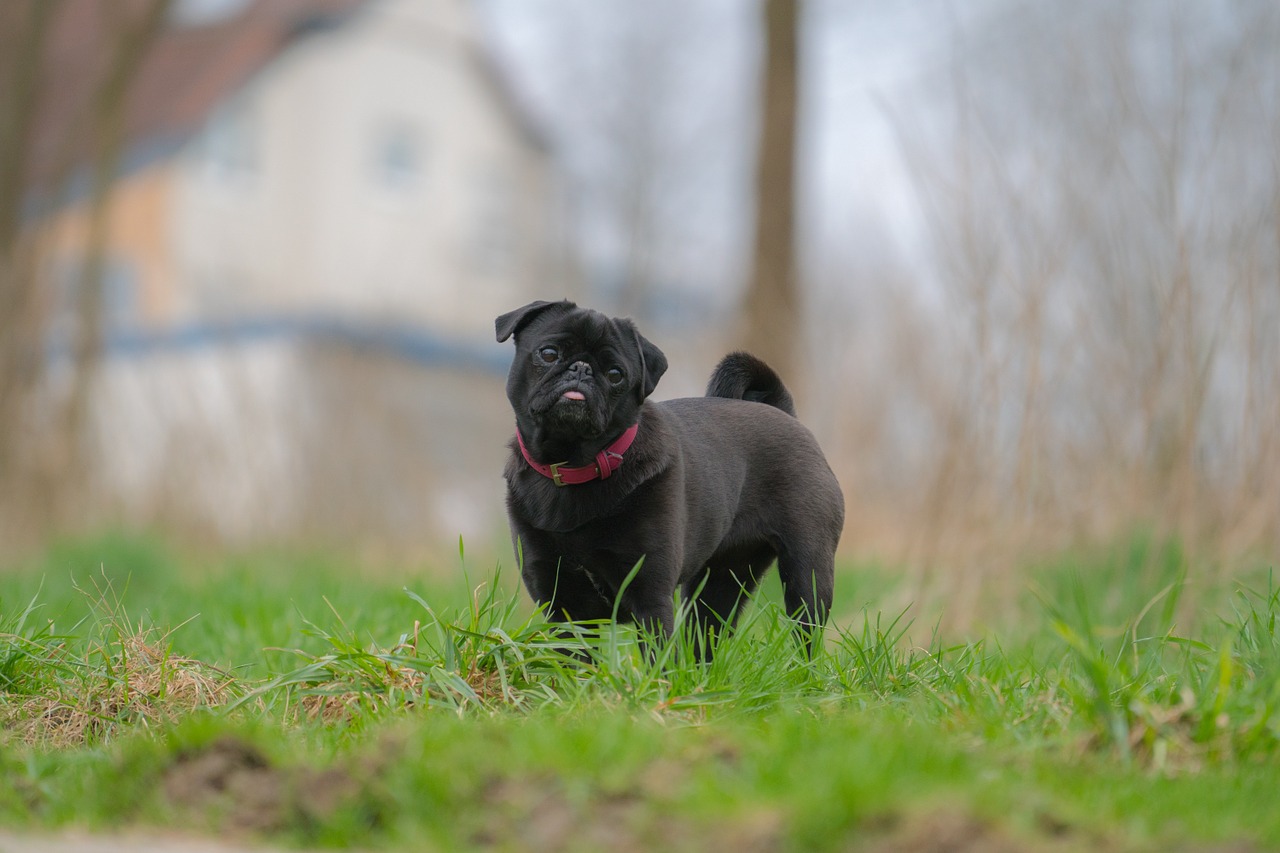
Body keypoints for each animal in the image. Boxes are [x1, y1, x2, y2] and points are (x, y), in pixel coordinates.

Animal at [494, 298, 844, 655]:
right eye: (549, 354)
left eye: (616, 374)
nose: (581, 369)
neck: (573, 466)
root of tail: (785, 414)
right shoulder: (564, 607)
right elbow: (572, 658)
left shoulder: (649, 597)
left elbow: (657, 654)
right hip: (718, 584)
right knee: (707, 632)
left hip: (807, 572)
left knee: (806, 628)